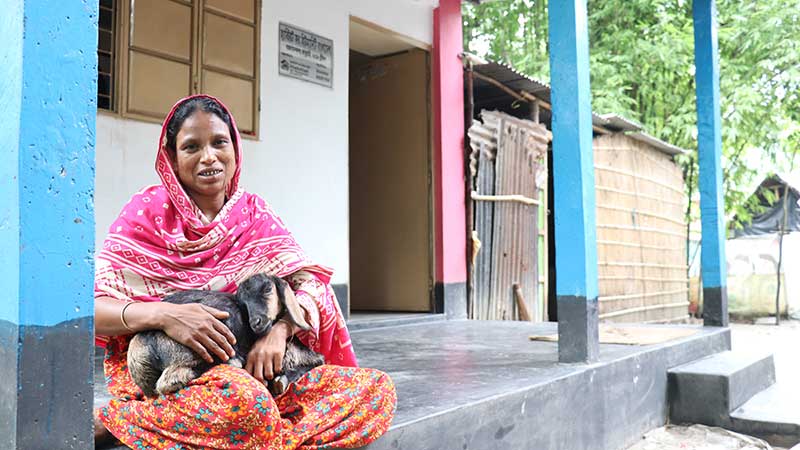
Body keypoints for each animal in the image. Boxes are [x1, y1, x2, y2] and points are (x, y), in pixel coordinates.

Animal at [126, 274, 324, 398]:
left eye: (268, 288)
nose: (256, 322)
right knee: (171, 380)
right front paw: (280, 382)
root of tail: (142, 343)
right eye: (243, 302)